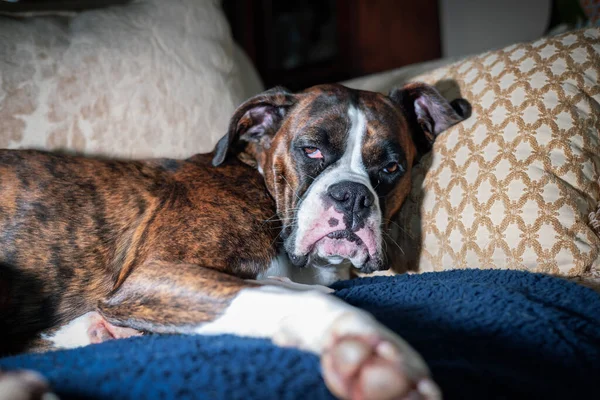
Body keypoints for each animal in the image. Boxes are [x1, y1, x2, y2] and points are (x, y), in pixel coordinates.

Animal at [0, 83, 468, 398]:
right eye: (311, 150)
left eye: (391, 167)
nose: (352, 195)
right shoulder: (151, 276)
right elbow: (280, 297)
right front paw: (364, 348)